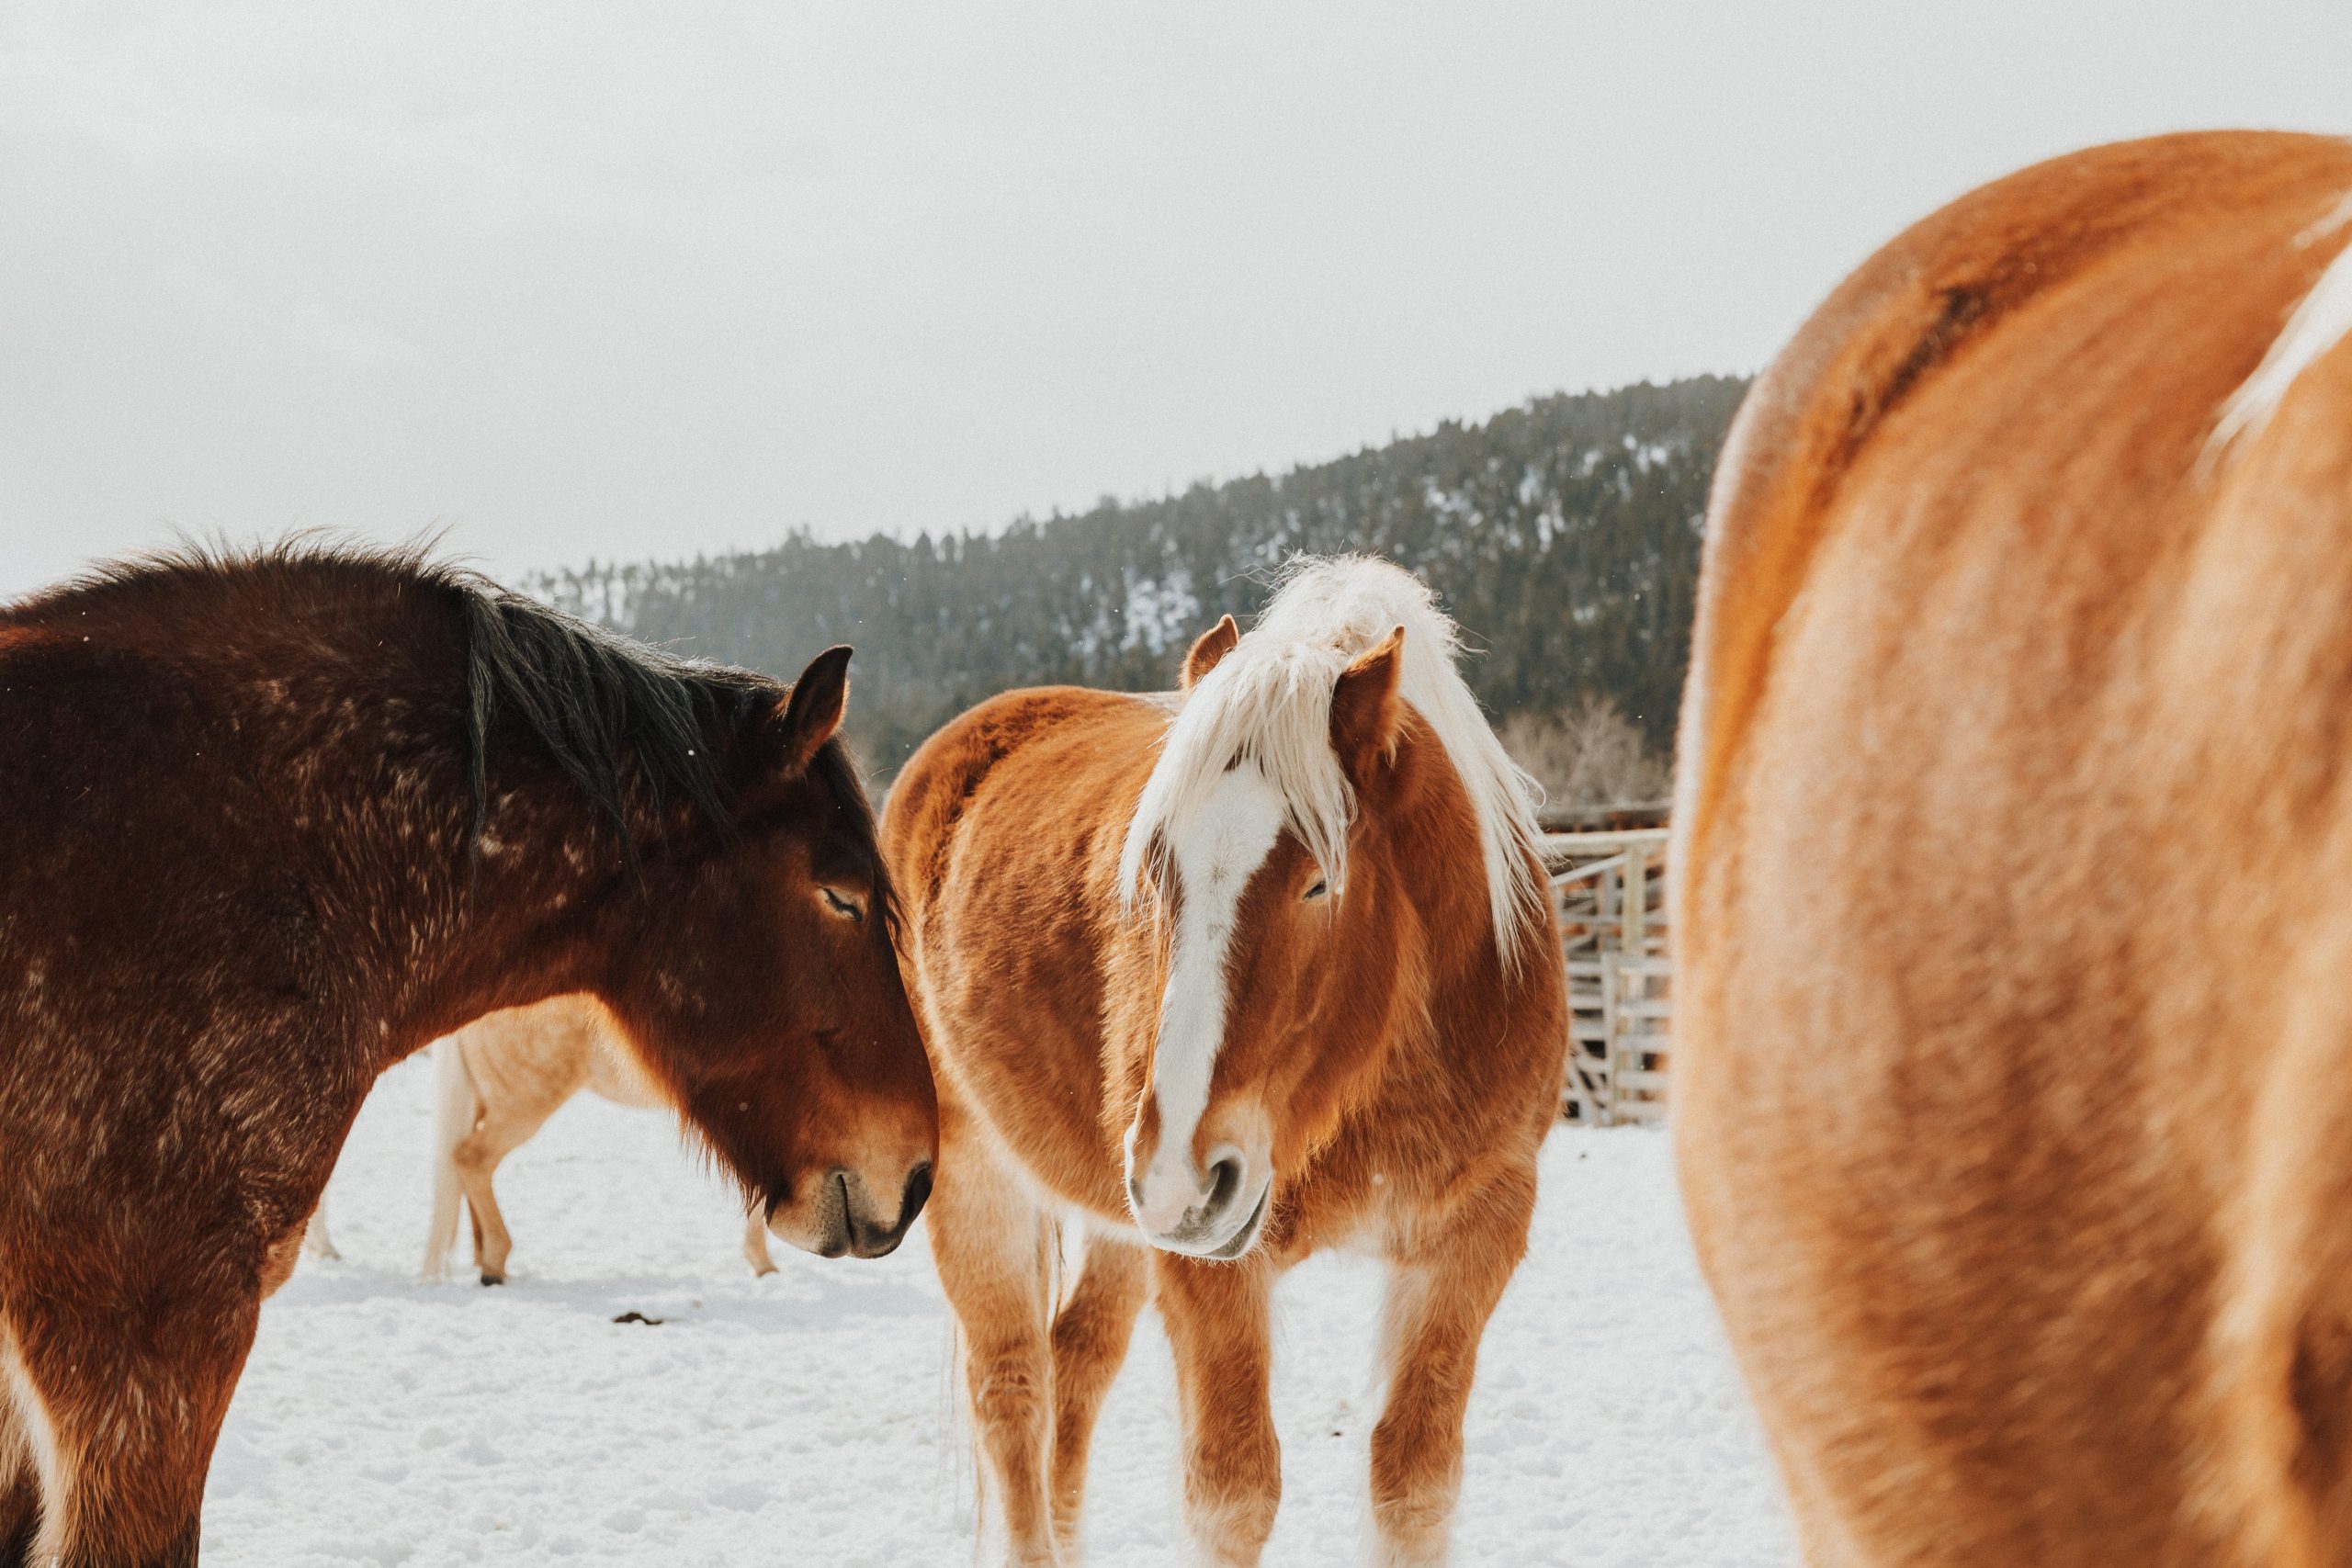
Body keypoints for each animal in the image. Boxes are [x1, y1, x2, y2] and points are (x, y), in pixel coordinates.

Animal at [884, 555, 1566, 1567]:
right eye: (1153, 869)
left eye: (1319, 881)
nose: (1181, 1176)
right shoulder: (1210, 1266)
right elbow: (1234, 1492)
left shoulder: (1471, 1236)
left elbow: (1413, 1483)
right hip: (989, 1178)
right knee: (1012, 1388)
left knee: (1076, 1362)